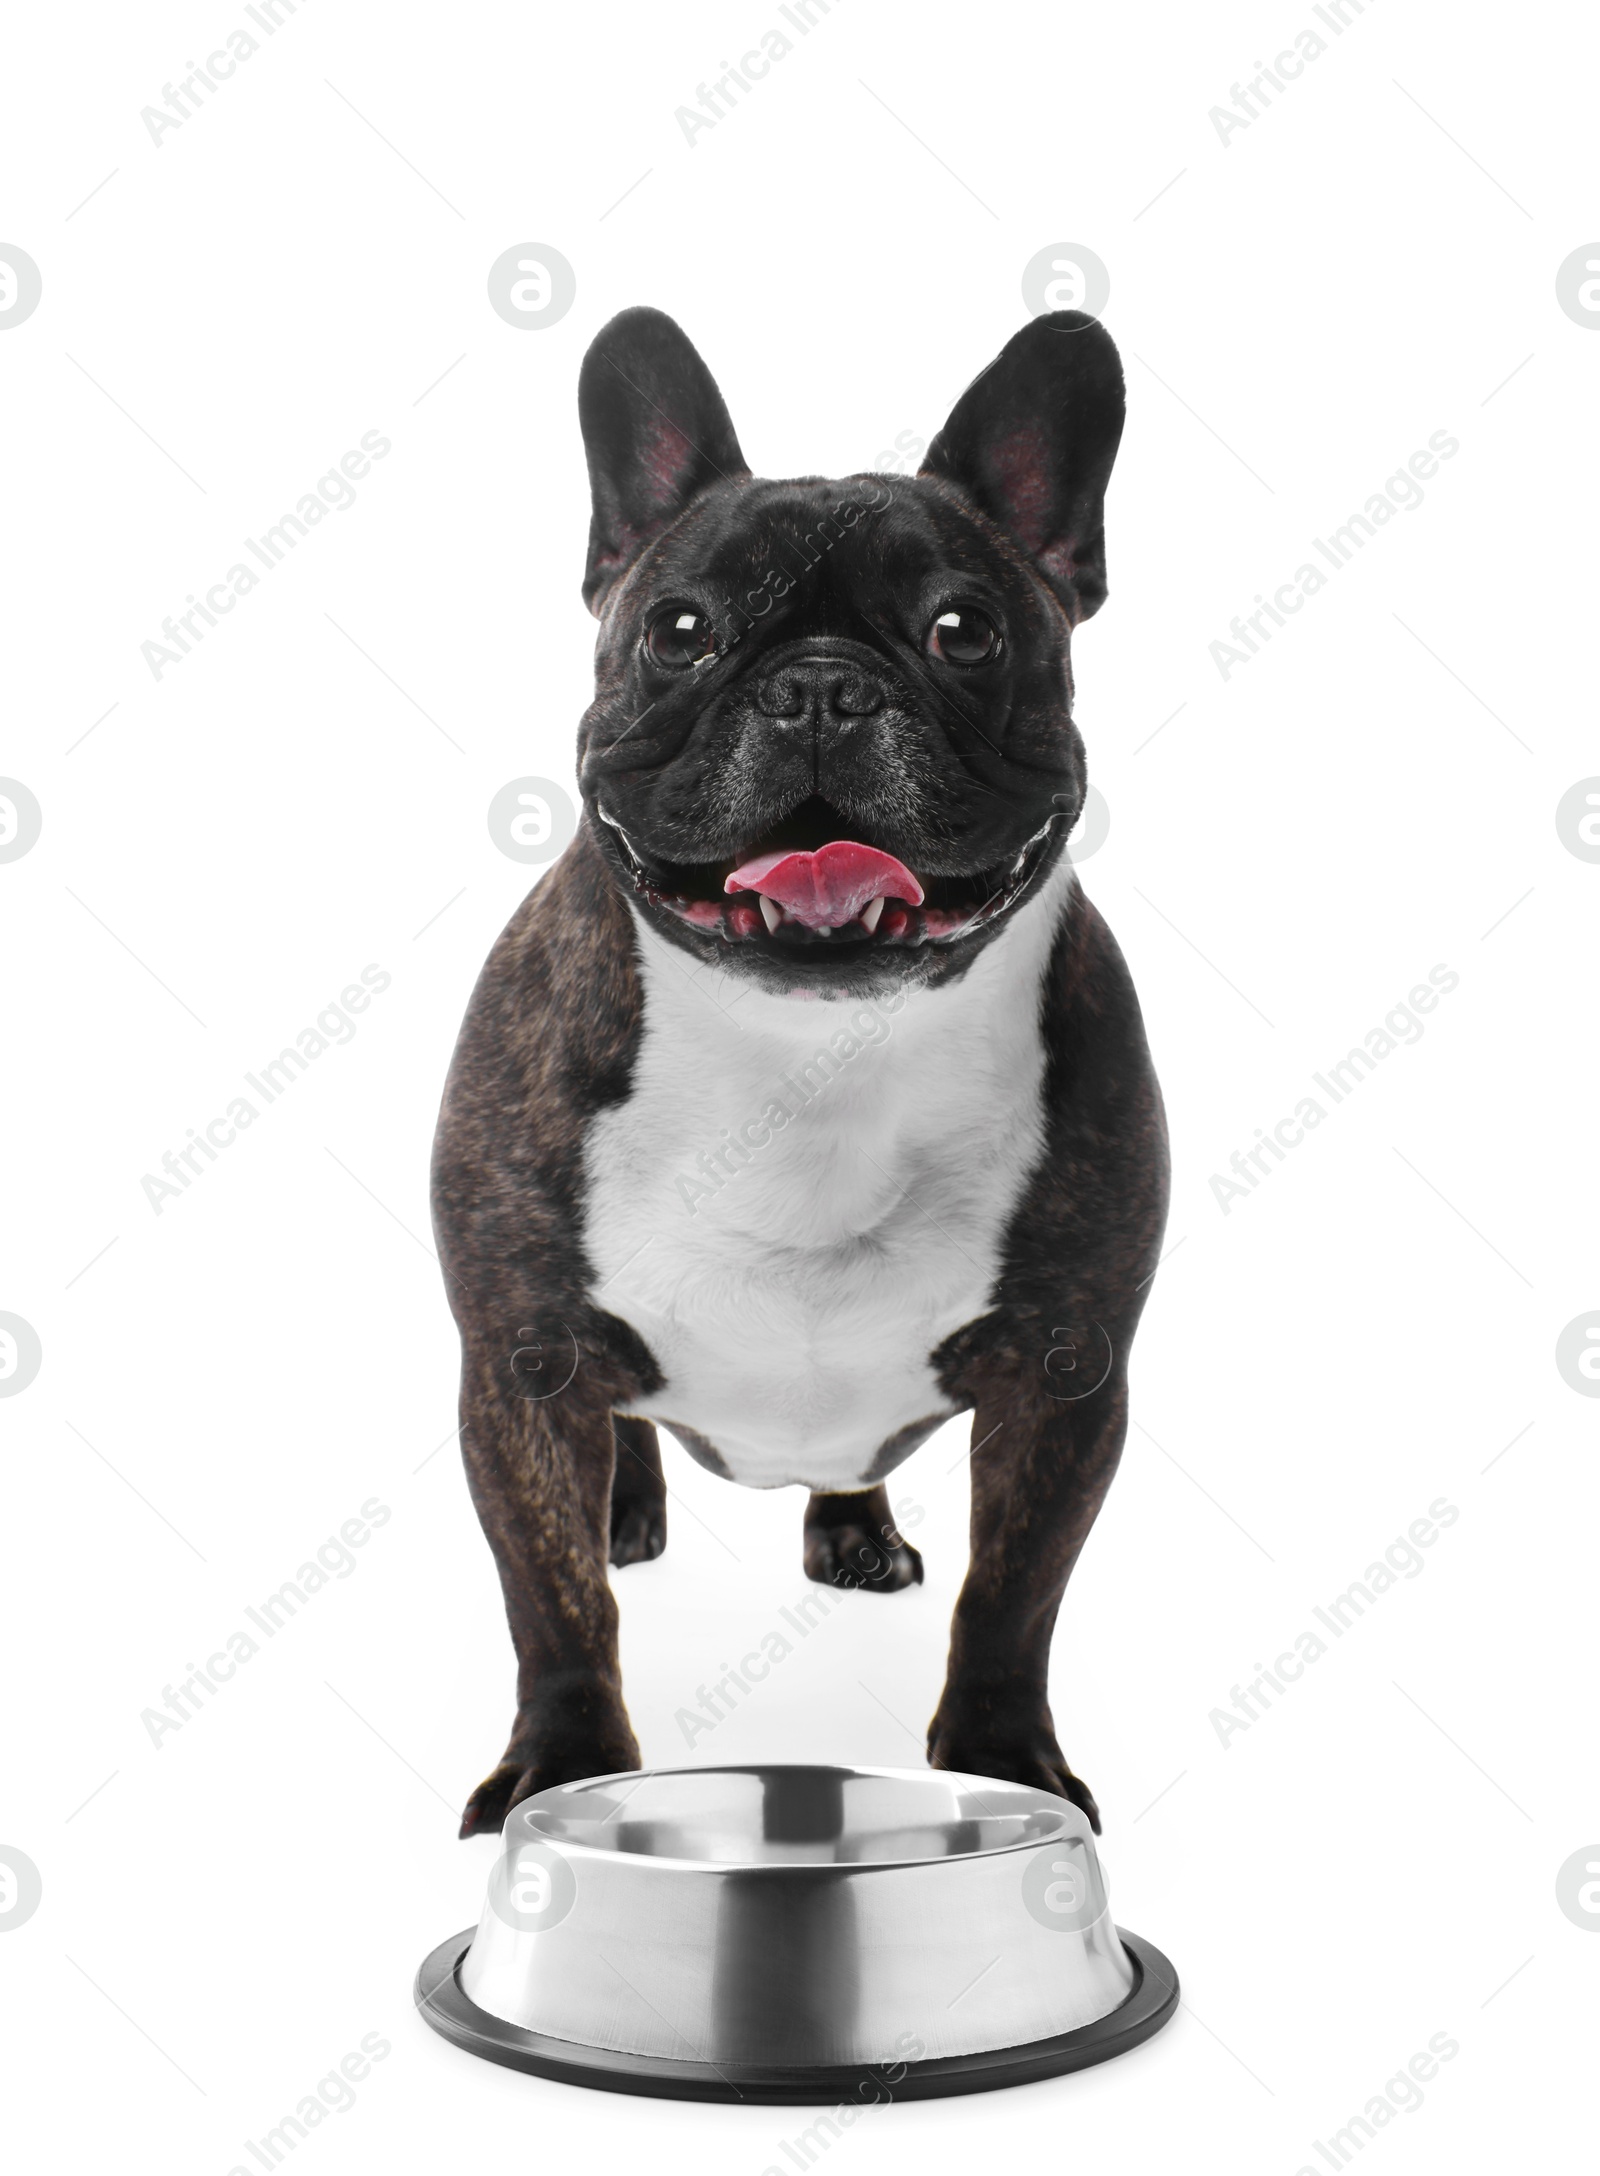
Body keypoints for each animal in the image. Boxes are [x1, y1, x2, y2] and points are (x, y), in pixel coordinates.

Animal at [431, 306, 1166, 1836]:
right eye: (679, 630)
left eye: (964, 630)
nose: (821, 686)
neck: (810, 1052)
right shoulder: (516, 1364)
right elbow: (554, 1601)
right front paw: (562, 1766)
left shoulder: (1068, 1380)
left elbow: (1014, 1596)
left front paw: (1006, 1763)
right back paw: (631, 1508)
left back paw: (853, 1529)